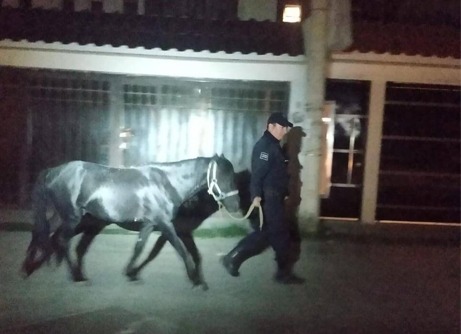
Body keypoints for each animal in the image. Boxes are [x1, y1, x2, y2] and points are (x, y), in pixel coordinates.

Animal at [20, 155, 241, 288]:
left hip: (63, 216)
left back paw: (27, 268)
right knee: (61, 240)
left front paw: (131, 273)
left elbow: (140, 248)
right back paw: (78, 277)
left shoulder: (149, 224)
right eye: (224, 177)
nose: (236, 205)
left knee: (43, 234)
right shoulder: (165, 224)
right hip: (73, 217)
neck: (167, 184)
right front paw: (196, 280)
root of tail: (54, 171)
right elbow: (182, 250)